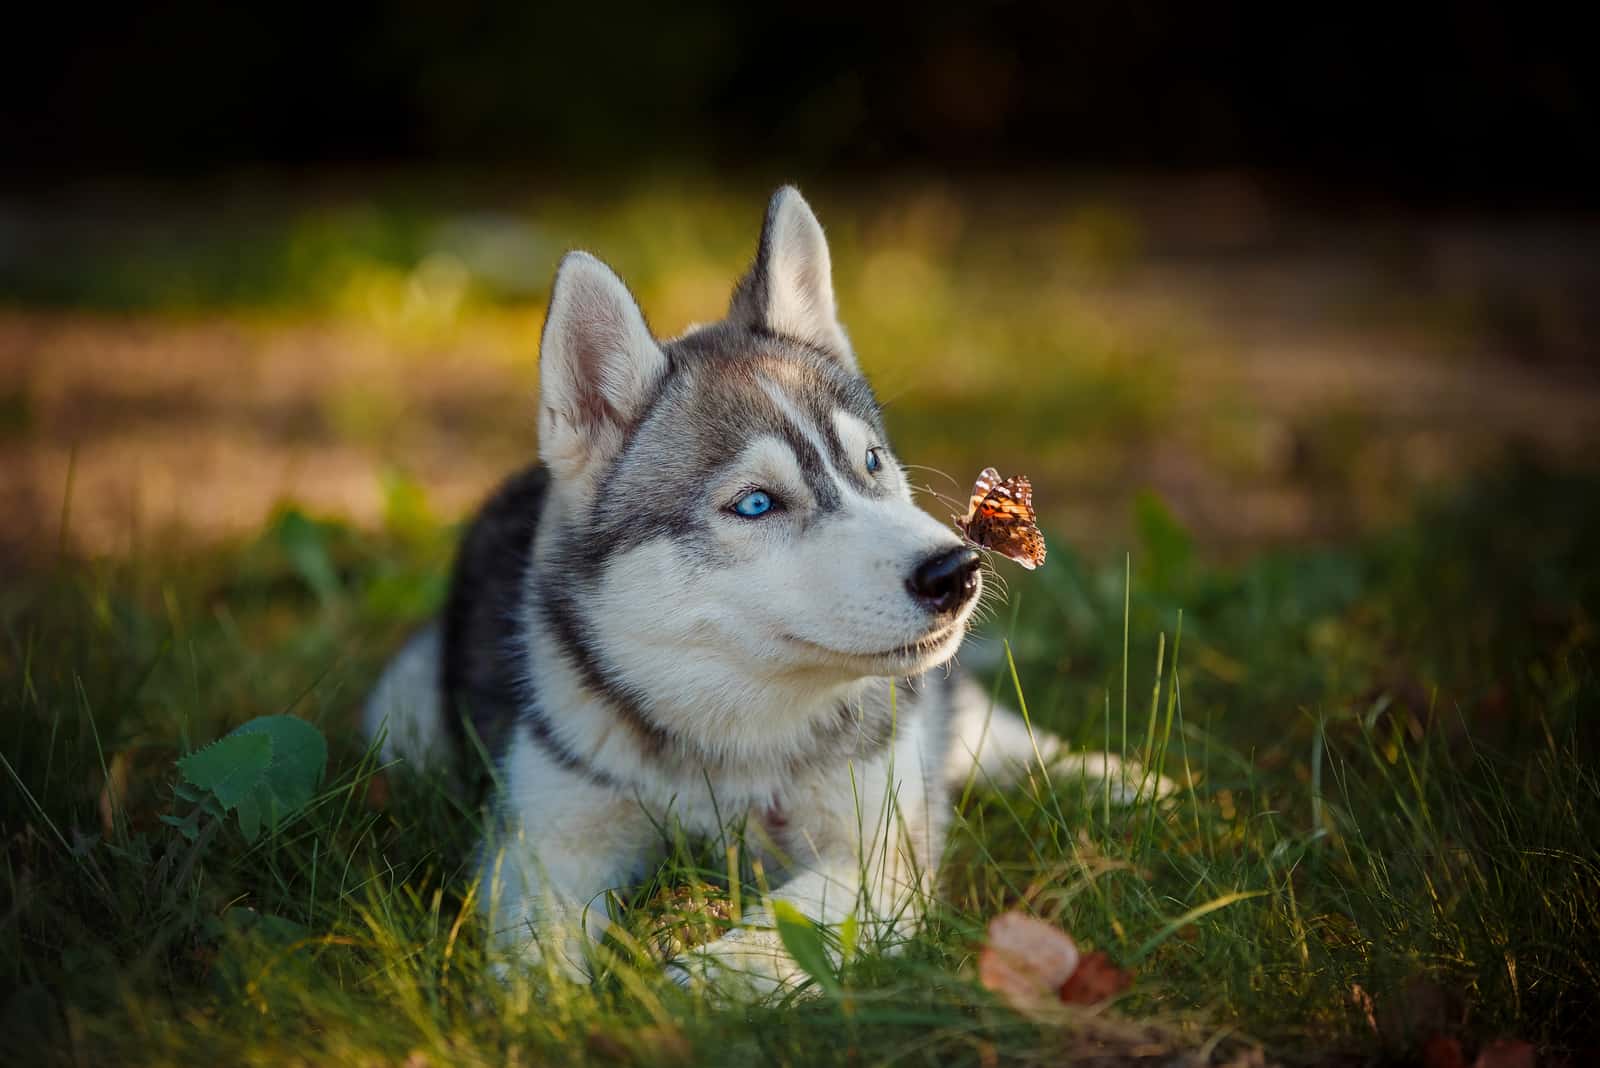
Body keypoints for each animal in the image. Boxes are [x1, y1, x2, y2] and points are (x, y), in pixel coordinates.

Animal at [366, 189, 1152, 991]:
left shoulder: (880, 857)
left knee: (1015, 747)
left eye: (872, 462)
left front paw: (698, 981)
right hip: (400, 715)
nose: (955, 571)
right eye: (754, 503)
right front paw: (554, 1003)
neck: (737, 745)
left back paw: (1134, 785)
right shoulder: (544, 840)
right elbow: (535, 949)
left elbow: (787, 922)